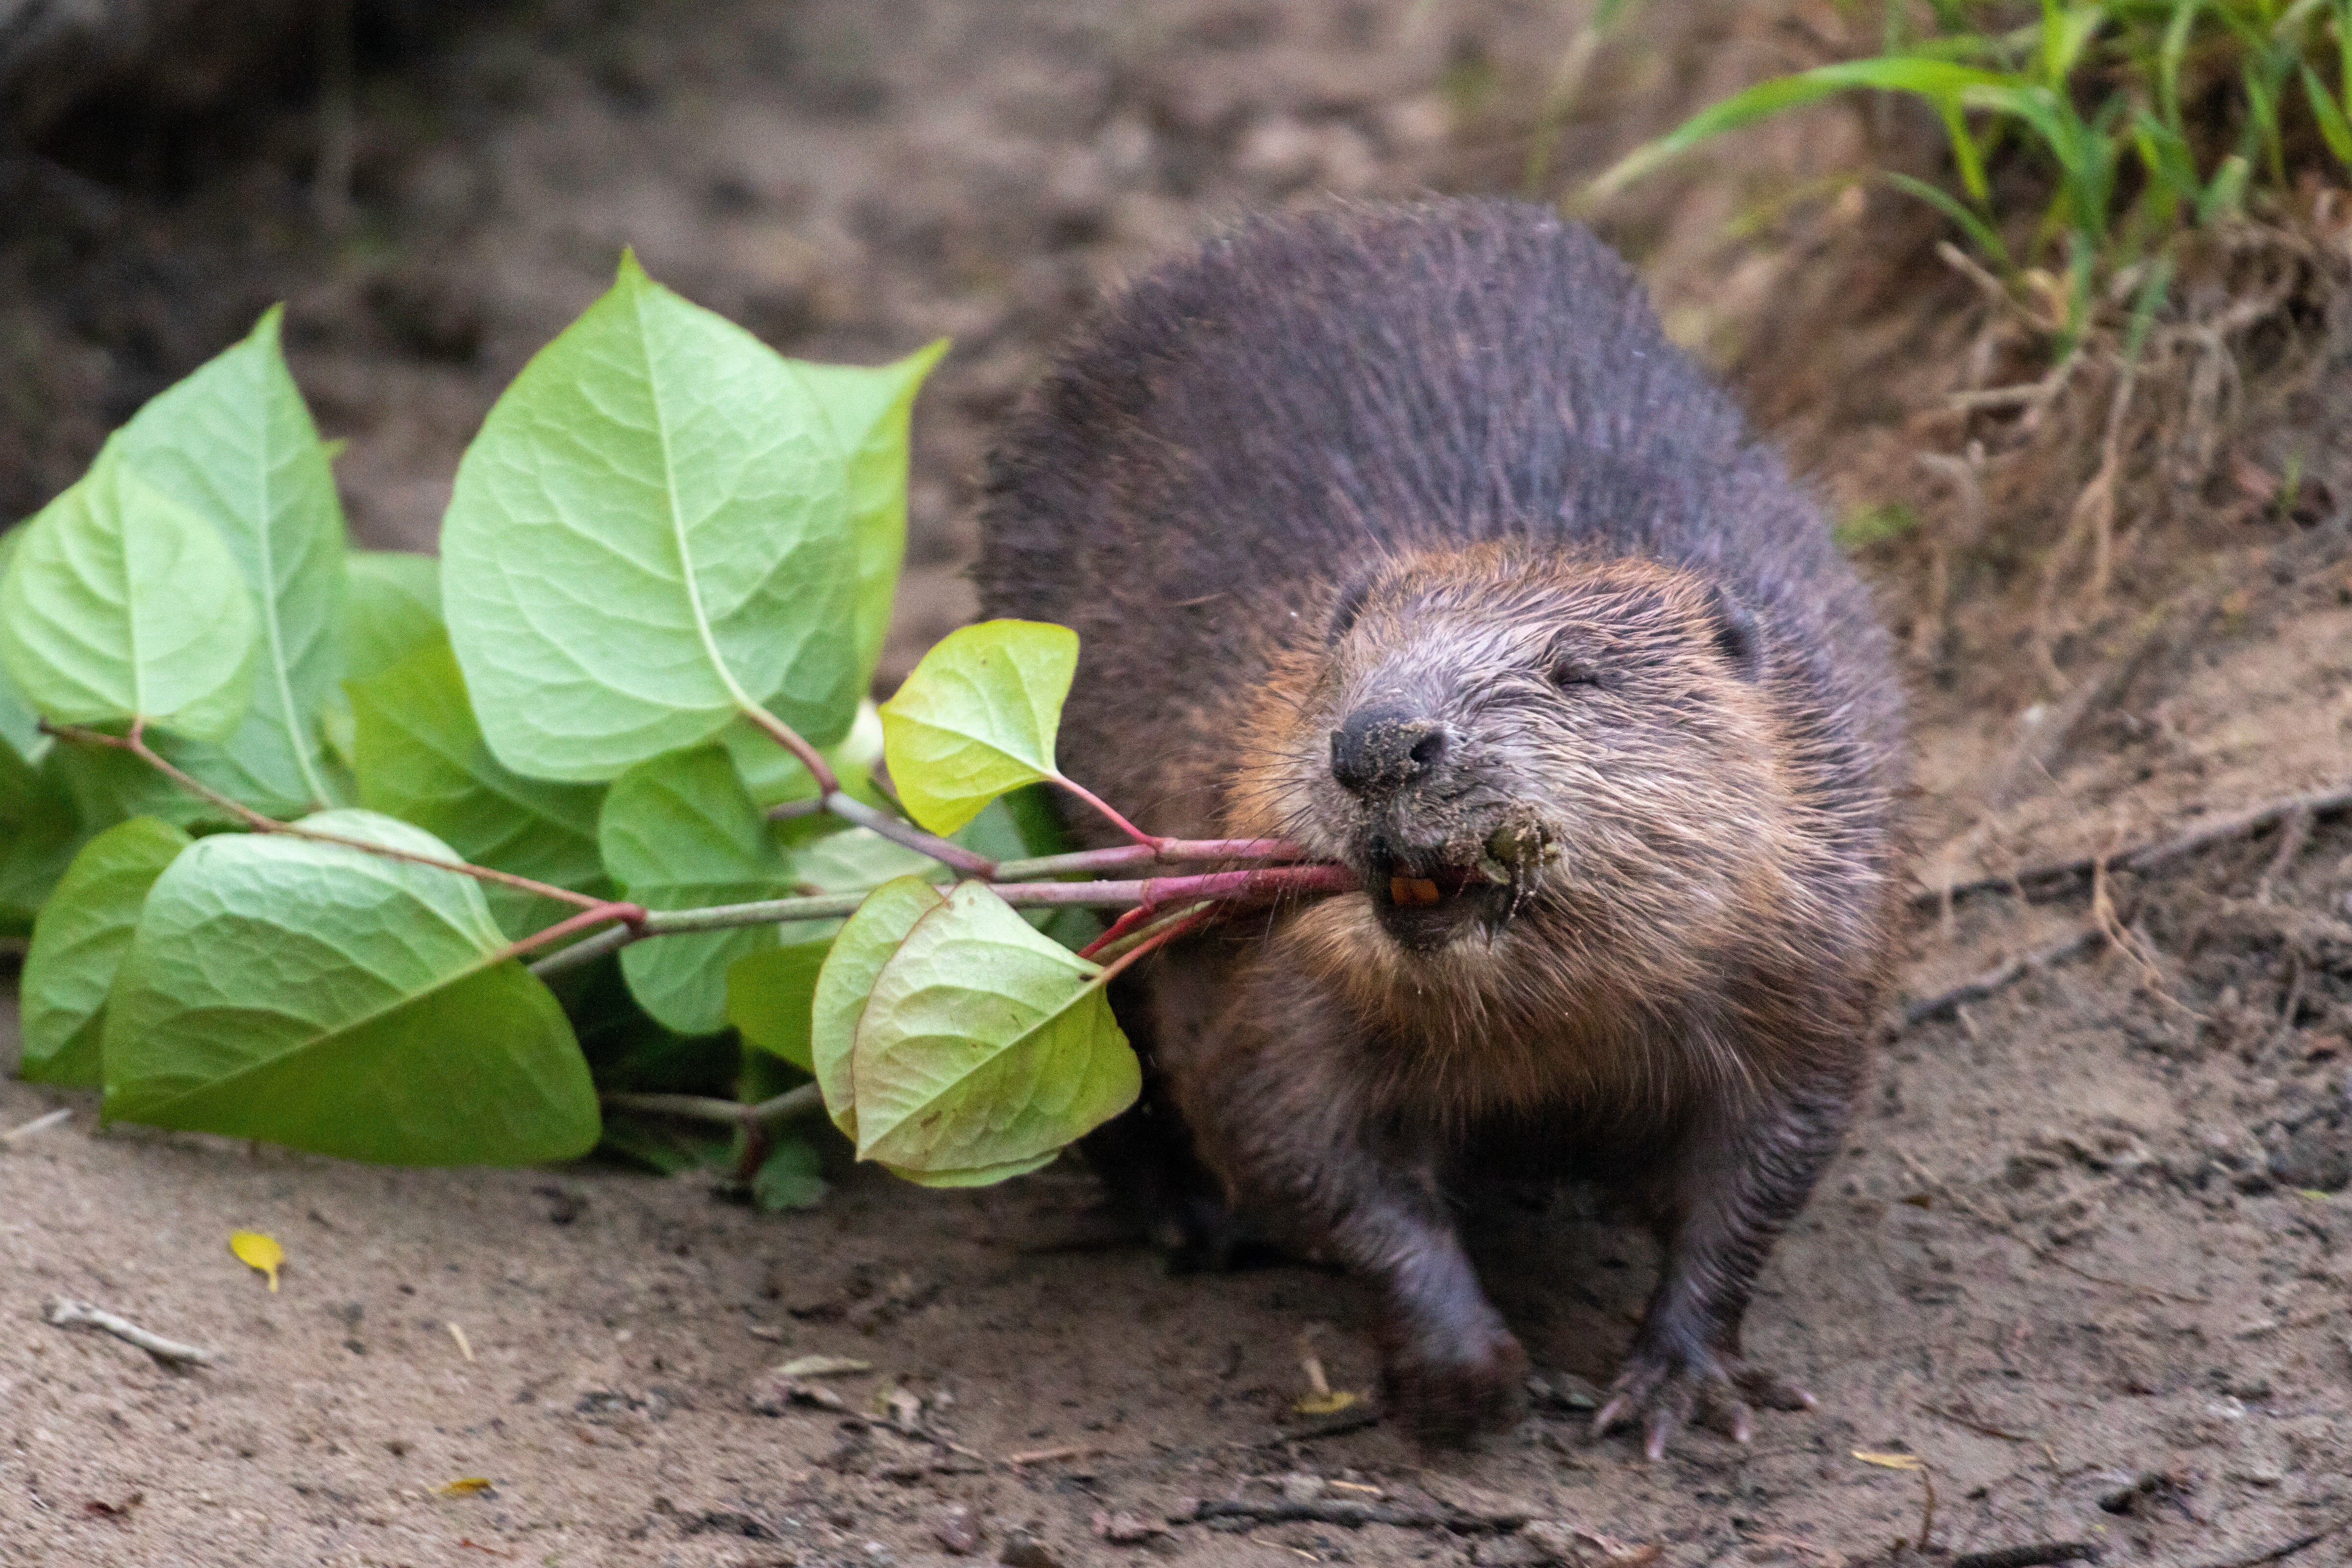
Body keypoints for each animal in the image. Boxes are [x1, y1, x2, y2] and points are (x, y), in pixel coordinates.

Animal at [973, 200, 1910, 1457]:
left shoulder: (1812, 928)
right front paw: (1468, 1377)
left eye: (1578, 669)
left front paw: (1676, 1385)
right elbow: (1291, 1137)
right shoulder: (1269, 971)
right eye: (1345, 651)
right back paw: (1183, 1217)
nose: (1379, 742)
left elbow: (1769, 1157)